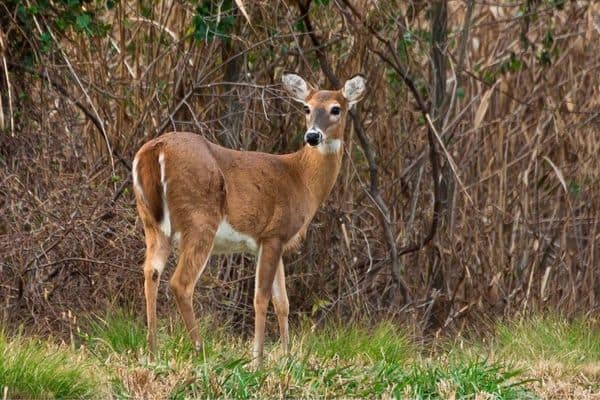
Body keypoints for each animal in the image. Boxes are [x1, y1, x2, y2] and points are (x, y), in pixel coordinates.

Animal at [132, 72, 366, 366]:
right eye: (307, 108)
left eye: (336, 109)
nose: (313, 136)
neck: (301, 179)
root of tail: (154, 150)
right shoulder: (274, 233)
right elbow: (262, 297)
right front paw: (258, 359)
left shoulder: (268, 243)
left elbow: (283, 302)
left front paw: (287, 356)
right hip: (200, 218)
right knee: (180, 283)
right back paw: (200, 350)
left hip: (151, 223)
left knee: (150, 272)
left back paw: (152, 351)